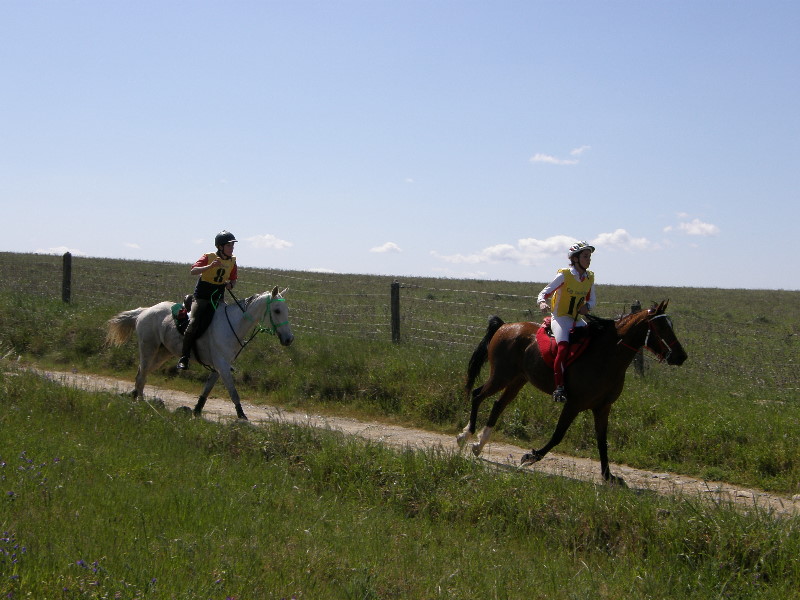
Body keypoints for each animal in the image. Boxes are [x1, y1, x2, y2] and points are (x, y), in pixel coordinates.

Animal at [104, 288, 294, 420]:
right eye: (277, 310)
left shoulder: (219, 367)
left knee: (141, 372)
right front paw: (242, 416)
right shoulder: (222, 365)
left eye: (287, 310)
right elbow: (233, 392)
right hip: (148, 348)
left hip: (163, 353)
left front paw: (196, 410)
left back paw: (134, 396)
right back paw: (141, 401)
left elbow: (207, 390)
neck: (233, 324)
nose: (289, 339)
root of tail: (144, 311)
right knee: (143, 374)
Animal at [456, 302, 688, 486]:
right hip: (501, 376)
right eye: (660, 327)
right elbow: (558, 435)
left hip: (517, 380)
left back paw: (478, 445)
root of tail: (504, 327)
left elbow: (602, 441)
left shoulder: (602, 407)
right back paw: (465, 436)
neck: (606, 356)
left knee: (497, 405)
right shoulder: (573, 404)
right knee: (477, 395)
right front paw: (531, 456)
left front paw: (608, 476)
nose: (681, 356)